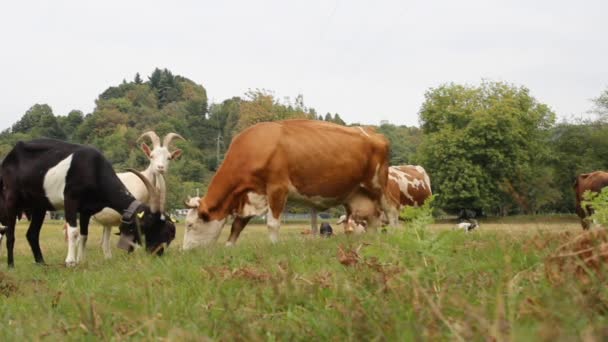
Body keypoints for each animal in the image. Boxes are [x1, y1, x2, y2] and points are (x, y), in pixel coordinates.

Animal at [0, 138, 176, 268]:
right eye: (150, 226)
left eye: (169, 233)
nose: (157, 253)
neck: (94, 168)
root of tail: (8, 157)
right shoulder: (70, 200)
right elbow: (73, 231)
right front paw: (70, 262)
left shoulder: (86, 210)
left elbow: (84, 235)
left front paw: (81, 261)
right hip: (10, 198)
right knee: (10, 233)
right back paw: (11, 265)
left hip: (39, 206)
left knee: (32, 234)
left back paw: (41, 264)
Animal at [183, 118, 396, 248]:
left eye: (190, 225)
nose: (186, 252)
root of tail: (373, 132)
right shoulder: (251, 195)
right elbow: (237, 225)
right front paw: (229, 248)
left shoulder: (277, 188)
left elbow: (272, 224)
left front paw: (273, 247)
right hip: (359, 194)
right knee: (374, 219)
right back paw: (372, 241)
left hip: (377, 183)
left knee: (391, 209)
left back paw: (395, 233)